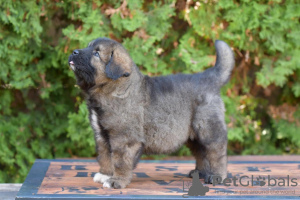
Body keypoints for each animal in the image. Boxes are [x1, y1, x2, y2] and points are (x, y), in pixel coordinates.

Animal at [68, 37, 234, 189]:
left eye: (96, 53)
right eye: (88, 47)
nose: (74, 52)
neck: (114, 88)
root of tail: (208, 77)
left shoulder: (124, 137)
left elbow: (120, 161)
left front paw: (117, 181)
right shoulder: (102, 135)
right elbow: (104, 156)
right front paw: (105, 174)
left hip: (207, 127)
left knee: (216, 151)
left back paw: (216, 176)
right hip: (192, 133)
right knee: (200, 151)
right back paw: (200, 173)